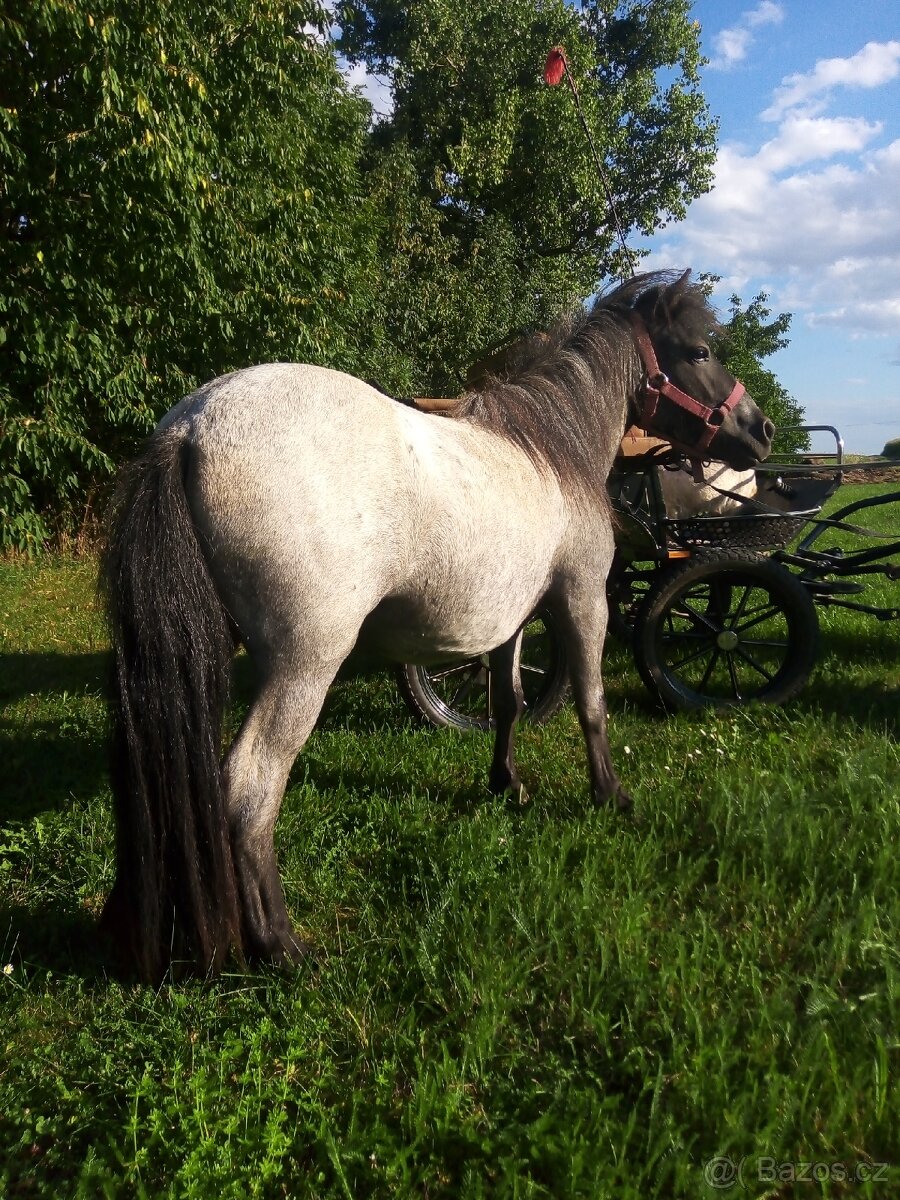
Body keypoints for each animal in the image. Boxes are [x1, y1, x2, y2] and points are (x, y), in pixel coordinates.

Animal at [101, 271, 774, 980]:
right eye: (700, 351)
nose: (761, 431)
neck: (552, 451)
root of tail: (196, 425)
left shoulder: (512, 619)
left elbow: (508, 701)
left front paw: (507, 784)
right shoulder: (583, 600)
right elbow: (591, 703)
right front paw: (610, 795)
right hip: (303, 666)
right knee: (248, 790)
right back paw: (280, 946)